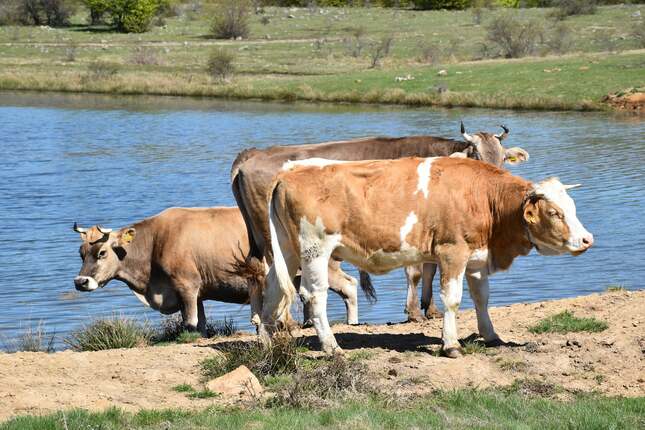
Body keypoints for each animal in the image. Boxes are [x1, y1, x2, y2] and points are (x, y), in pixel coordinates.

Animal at [72, 207, 260, 332]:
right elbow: (201, 324)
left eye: (102, 252)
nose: (80, 282)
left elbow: (190, 323)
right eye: (81, 253)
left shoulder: (187, 285)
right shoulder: (194, 292)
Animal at [231, 122, 528, 324]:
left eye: (502, 157)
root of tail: (253, 153)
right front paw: (414, 312)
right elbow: (416, 272)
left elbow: (431, 269)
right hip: (273, 238)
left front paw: (430, 309)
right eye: (476, 155)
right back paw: (287, 321)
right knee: (277, 275)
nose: (492, 178)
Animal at [260, 156, 592, 358]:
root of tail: (291, 170)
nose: (587, 239)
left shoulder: (476, 258)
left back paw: (267, 345)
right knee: (314, 295)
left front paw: (491, 335)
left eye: (572, 207)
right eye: (554, 212)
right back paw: (332, 347)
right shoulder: (452, 252)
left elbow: (482, 298)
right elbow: (452, 300)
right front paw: (451, 344)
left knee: (272, 289)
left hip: (288, 250)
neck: (483, 197)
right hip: (315, 250)